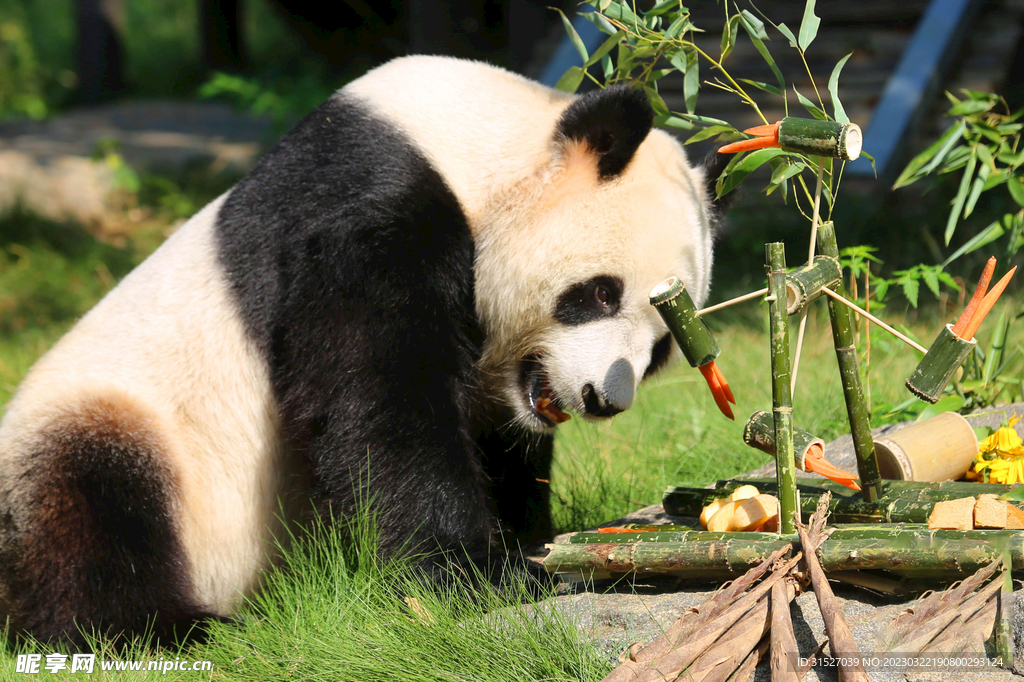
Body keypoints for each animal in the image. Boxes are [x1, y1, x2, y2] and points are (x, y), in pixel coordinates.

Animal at [0, 54, 720, 643]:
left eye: (663, 343)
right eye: (600, 293)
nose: (604, 400)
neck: (482, 151)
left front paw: (530, 539)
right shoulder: (367, 212)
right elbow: (383, 401)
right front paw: (479, 575)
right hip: (110, 417)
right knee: (90, 509)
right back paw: (171, 627)